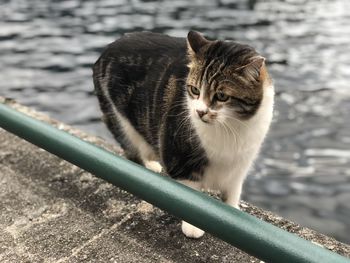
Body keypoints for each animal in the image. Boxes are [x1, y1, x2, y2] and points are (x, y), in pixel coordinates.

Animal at [92, 30, 274, 239]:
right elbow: (190, 195)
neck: (232, 126)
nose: (200, 112)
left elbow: (233, 192)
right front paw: (193, 226)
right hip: (120, 121)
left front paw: (233, 214)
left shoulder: (240, 164)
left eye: (222, 96)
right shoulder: (178, 156)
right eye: (195, 90)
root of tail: (107, 49)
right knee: (132, 153)